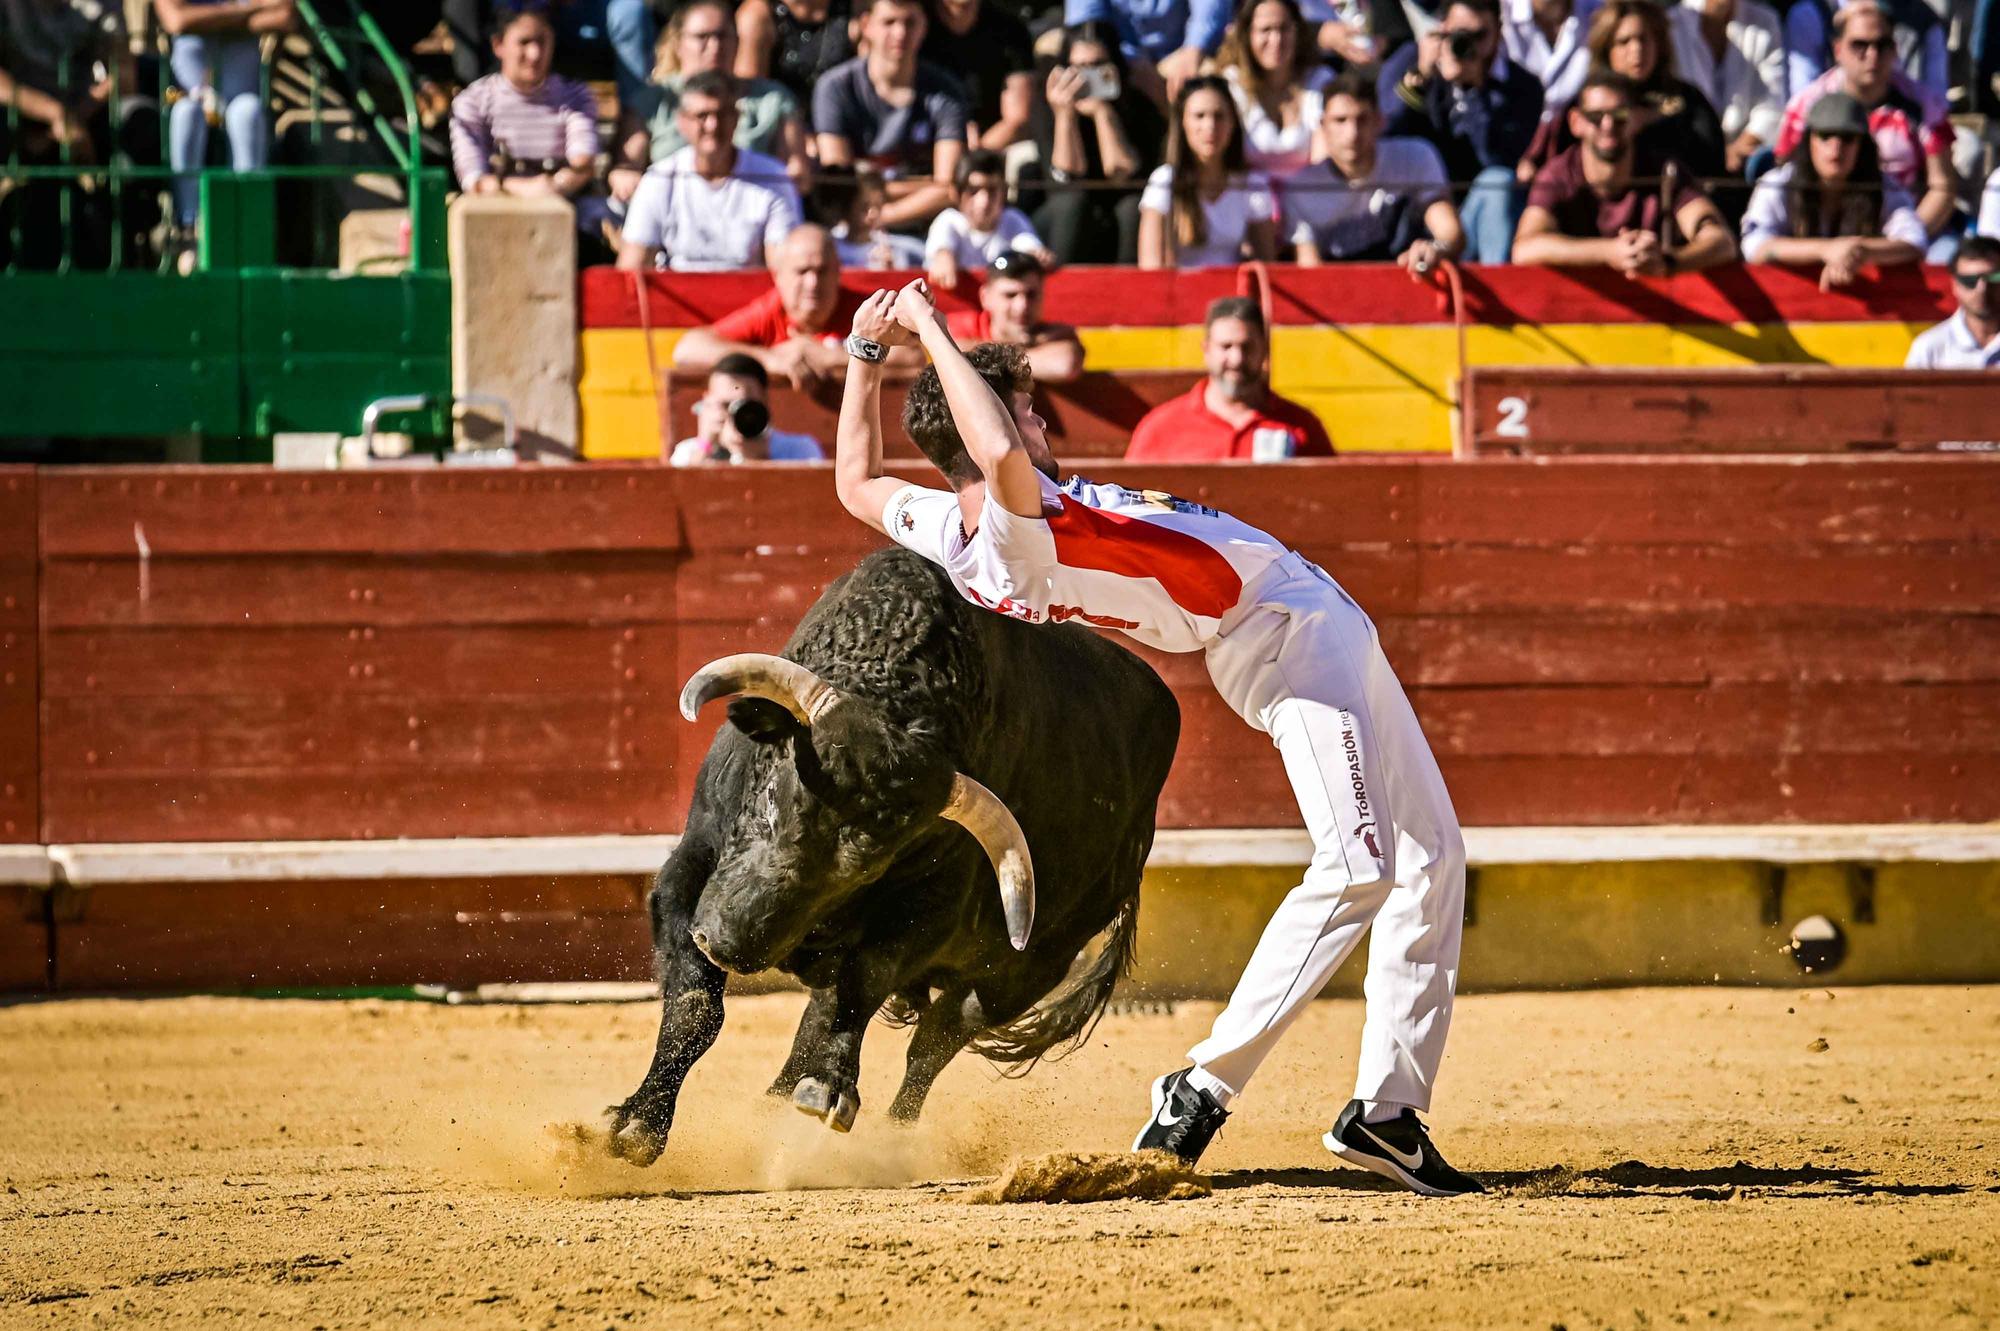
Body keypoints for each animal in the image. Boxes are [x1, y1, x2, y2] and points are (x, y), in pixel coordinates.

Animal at [600, 543, 1176, 1159]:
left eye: (871, 862)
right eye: (778, 782)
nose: (728, 943)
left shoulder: (924, 915)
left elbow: (866, 982)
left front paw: (830, 1088)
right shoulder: (688, 874)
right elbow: (696, 1010)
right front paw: (639, 1123)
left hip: (1027, 970)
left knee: (932, 1042)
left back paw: (889, 1138)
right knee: (825, 1023)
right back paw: (771, 1110)